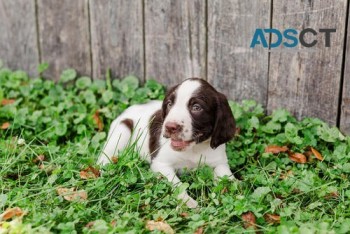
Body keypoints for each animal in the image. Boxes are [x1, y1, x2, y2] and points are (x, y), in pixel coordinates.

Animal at [97, 78, 237, 208]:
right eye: (170, 104)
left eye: (196, 107)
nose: (170, 127)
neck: (193, 149)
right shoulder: (160, 165)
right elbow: (177, 184)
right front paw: (188, 202)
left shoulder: (220, 163)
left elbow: (229, 180)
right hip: (122, 129)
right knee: (106, 155)